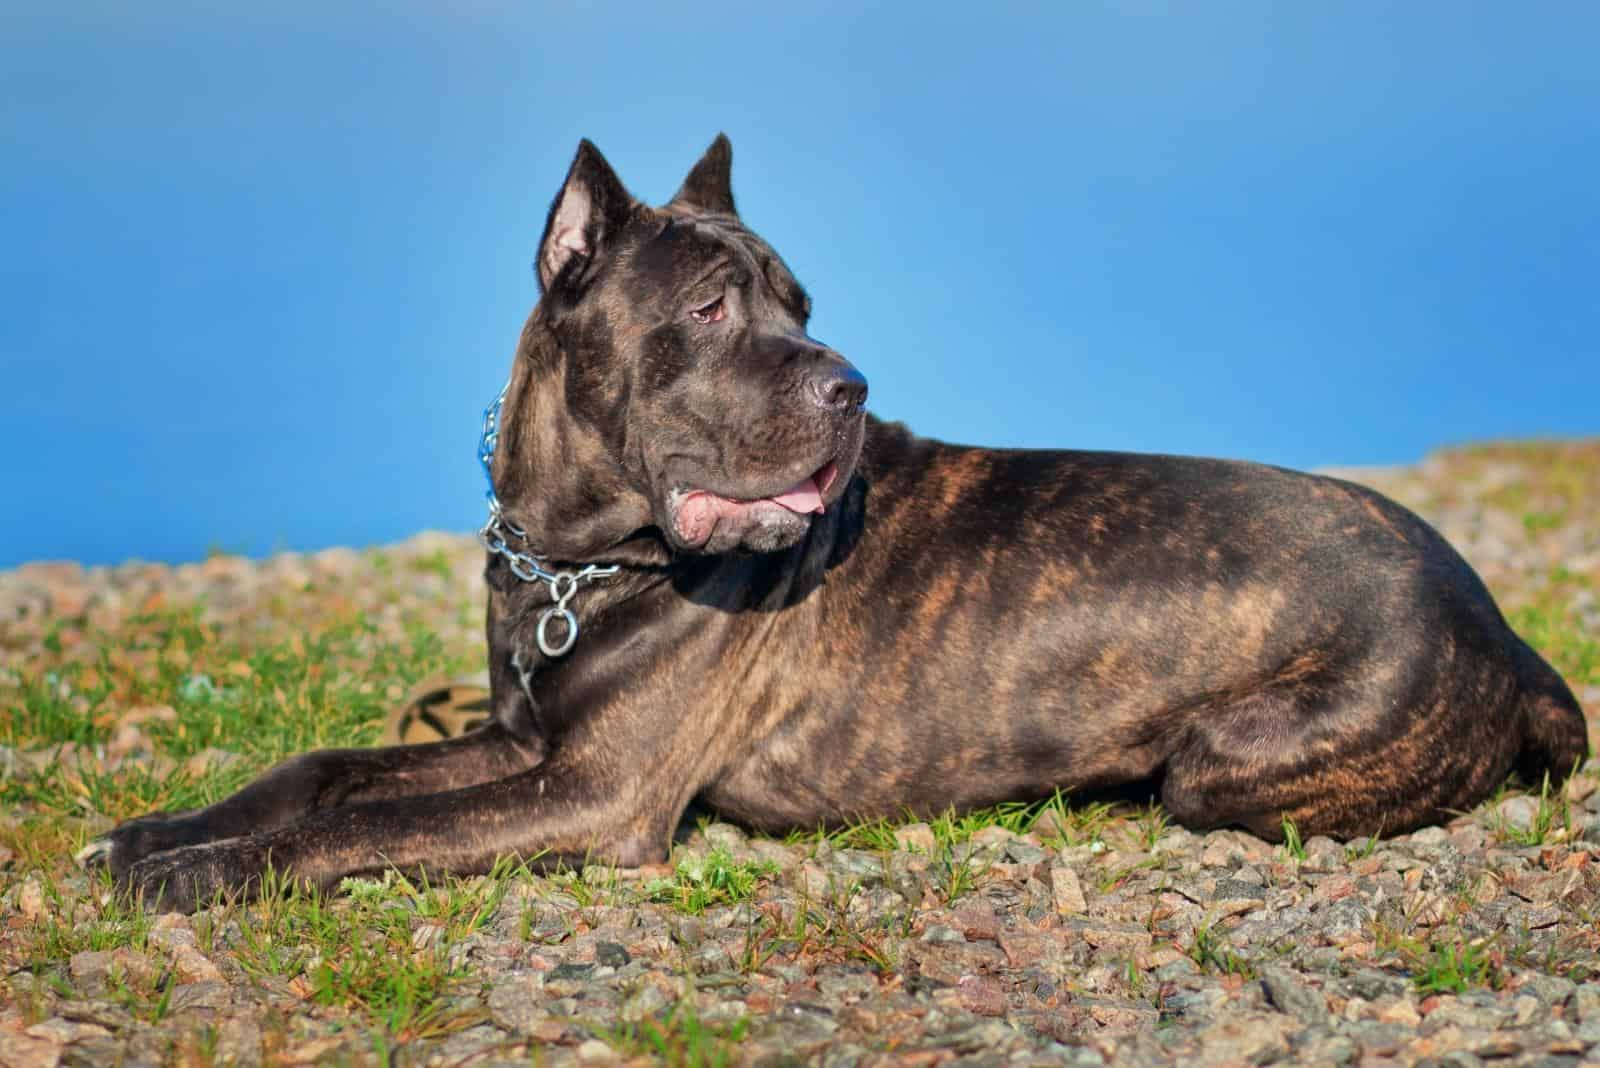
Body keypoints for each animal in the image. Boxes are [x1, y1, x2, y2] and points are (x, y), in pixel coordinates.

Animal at [87, 137, 1587, 914]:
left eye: (801, 304)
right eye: (709, 309)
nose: (847, 381)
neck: (579, 558)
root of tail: (1501, 630)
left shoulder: (590, 794)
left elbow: (359, 830)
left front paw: (211, 873)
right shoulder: (521, 742)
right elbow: (327, 774)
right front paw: (165, 832)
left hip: (1225, 760)